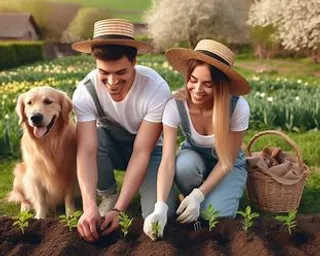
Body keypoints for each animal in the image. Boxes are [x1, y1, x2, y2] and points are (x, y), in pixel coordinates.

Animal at [7, 86, 77, 218]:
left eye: (48, 101)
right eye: (29, 103)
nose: (35, 117)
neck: (48, 144)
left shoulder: (71, 172)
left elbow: (69, 198)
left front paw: (71, 215)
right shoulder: (36, 174)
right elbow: (40, 199)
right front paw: (40, 217)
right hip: (19, 176)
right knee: (23, 198)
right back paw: (25, 208)